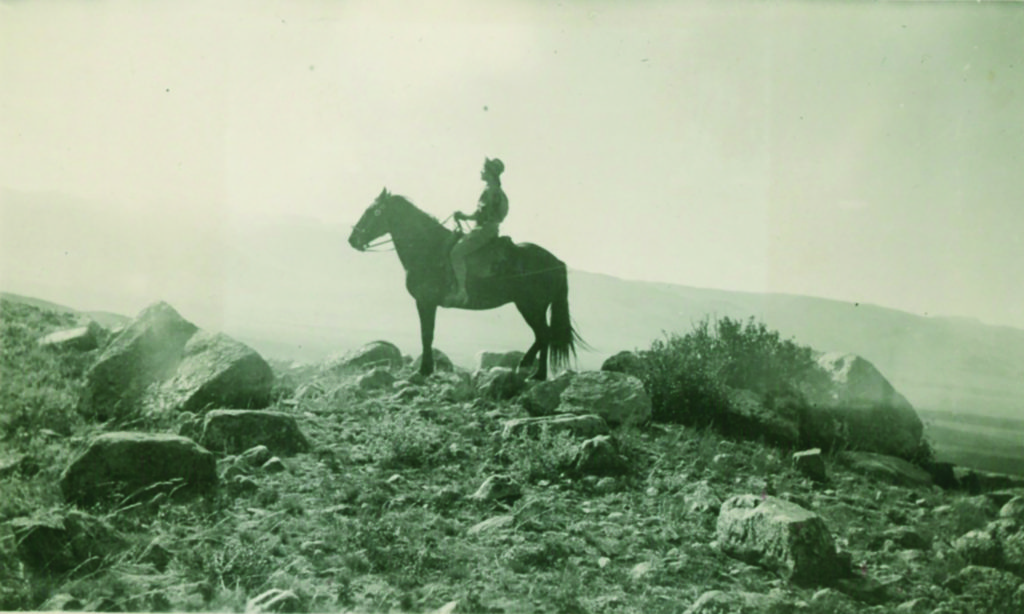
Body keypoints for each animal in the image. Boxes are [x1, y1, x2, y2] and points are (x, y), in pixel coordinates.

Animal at [348, 187, 585, 378]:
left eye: (371, 211)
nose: (352, 240)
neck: (429, 248)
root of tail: (556, 262)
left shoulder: (425, 302)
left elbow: (427, 335)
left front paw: (425, 369)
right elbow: (427, 335)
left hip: (531, 306)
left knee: (544, 335)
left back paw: (538, 373)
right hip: (531, 307)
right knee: (542, 336)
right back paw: (527, 366)